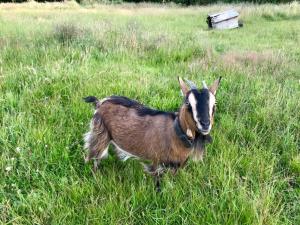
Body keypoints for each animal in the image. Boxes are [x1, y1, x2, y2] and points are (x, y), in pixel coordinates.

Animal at [83, 76, 221, 191]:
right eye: (187, 103)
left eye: (214, 104)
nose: (205, 124)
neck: (174, 132)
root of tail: (100, 103)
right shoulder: (156, 162)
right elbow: (157, 182)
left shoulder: (176, 166)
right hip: (100, 134)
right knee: (94, 157)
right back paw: (96, 176)